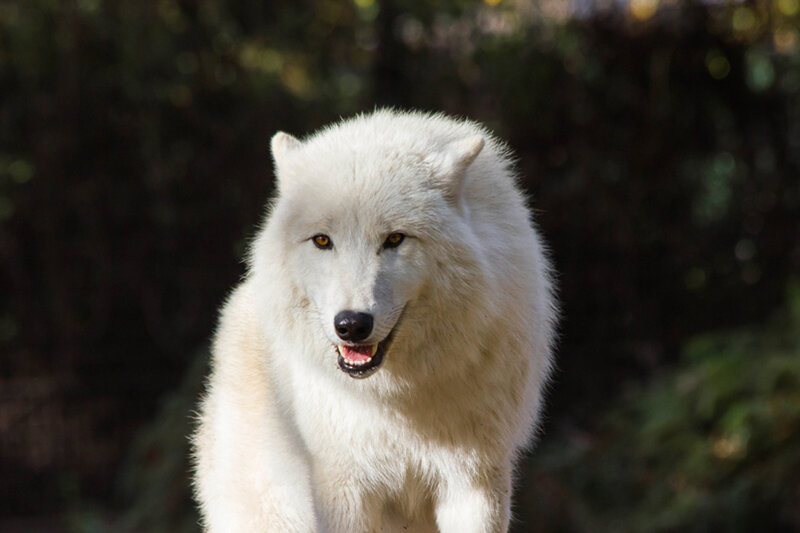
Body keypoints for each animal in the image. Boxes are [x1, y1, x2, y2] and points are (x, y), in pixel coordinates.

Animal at [192, 109, 557, 532]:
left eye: (395, 239)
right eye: (322, 240)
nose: (351, 324)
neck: (393, 402)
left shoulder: (474, 481)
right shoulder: (345, 487)